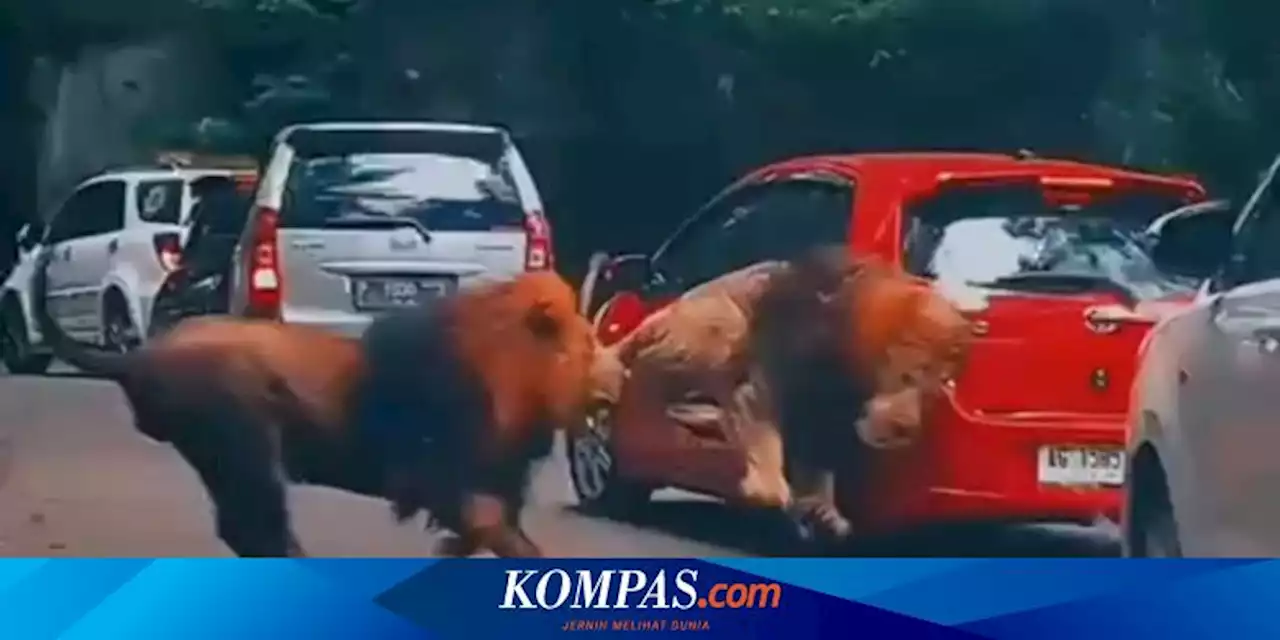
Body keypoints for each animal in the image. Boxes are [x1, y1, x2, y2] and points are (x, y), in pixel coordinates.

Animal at [28, 247, 599, 558]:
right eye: (583, 341)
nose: (603, 379)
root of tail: (145, 356)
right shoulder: (438, 473)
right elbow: (499, 533)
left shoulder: (492, 479)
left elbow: (494, 534)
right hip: (243, 444)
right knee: (255, 528)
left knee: (247, 529)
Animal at [588, 244, 967, 545]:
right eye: (909, 375)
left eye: (940, 385)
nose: (903, 429)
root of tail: (664, 311)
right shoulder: (777, 375)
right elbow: (763, 429)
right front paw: (772, 494)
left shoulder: (832, 409)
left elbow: (820, 459)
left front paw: (823, 513)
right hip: (715, 325)